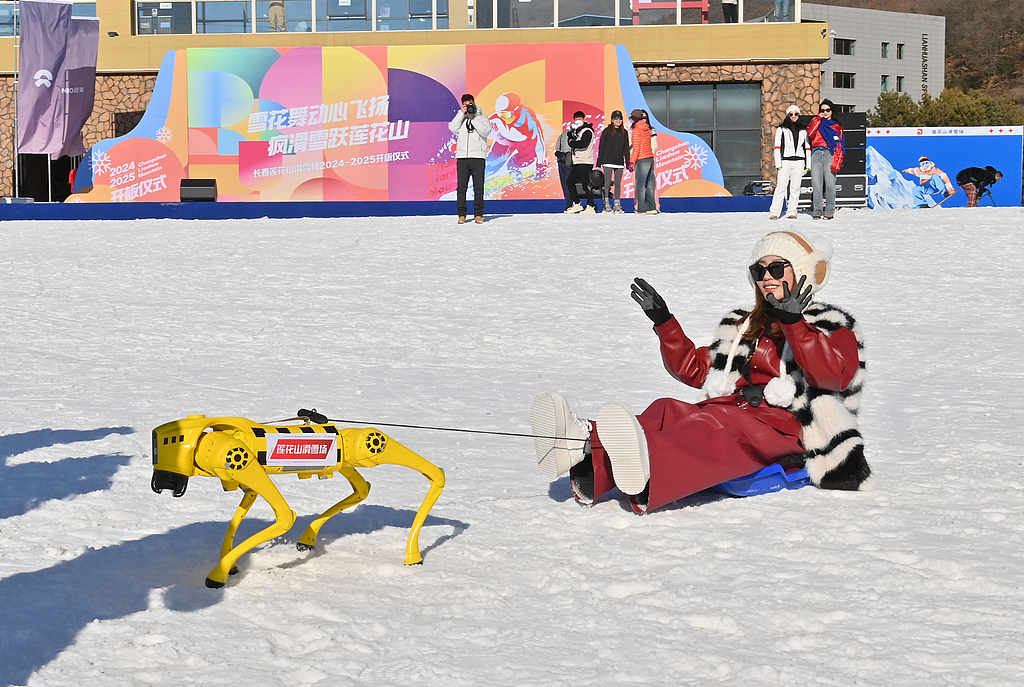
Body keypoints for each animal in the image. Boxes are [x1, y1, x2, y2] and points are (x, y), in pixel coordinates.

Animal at [150, 411, 444, 589]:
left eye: (175, 440)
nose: (161, 483)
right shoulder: (248, 479)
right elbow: (245, 515)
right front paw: (230, 566)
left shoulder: (243, 463)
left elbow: (285, 516)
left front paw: (217, 575)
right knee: (364, 488)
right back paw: (308, 539)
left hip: (369, 445)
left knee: (435, 474)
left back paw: (413, 555)